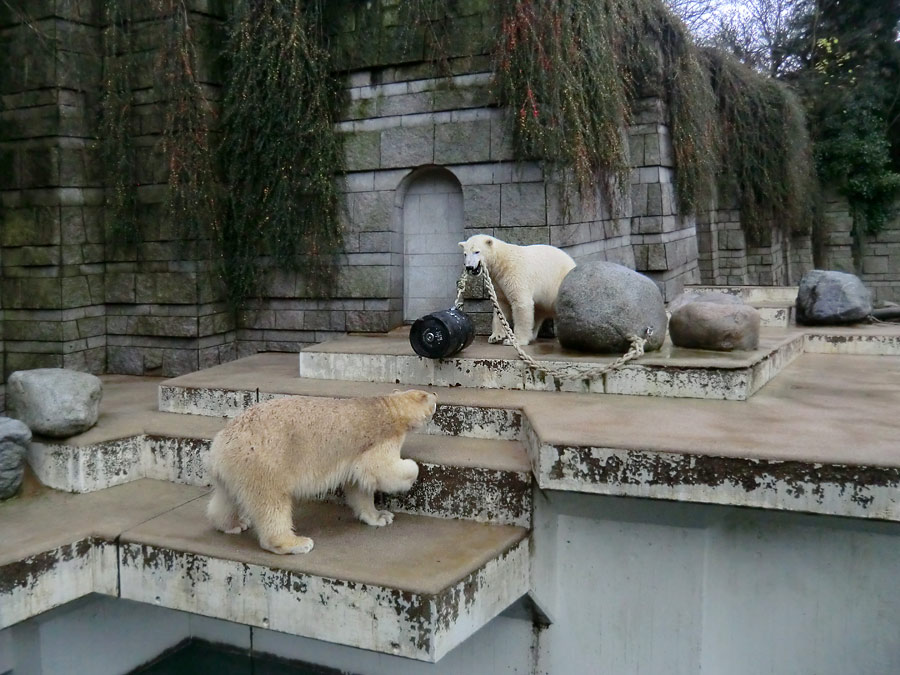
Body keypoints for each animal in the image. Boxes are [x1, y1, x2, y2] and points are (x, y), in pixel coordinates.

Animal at [208, 390, 440, 556]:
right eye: (427, 394)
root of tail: (218, 447)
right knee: (271, 503)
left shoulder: (353, 454)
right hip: (263, 463)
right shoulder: (379, 439)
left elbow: (358, 484)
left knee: (226, 498)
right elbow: (379, 468)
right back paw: (296, 543)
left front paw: (380, 516)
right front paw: (411, 467)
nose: (437, 395)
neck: (386, 407)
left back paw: (235, 524)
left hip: (235, 469)